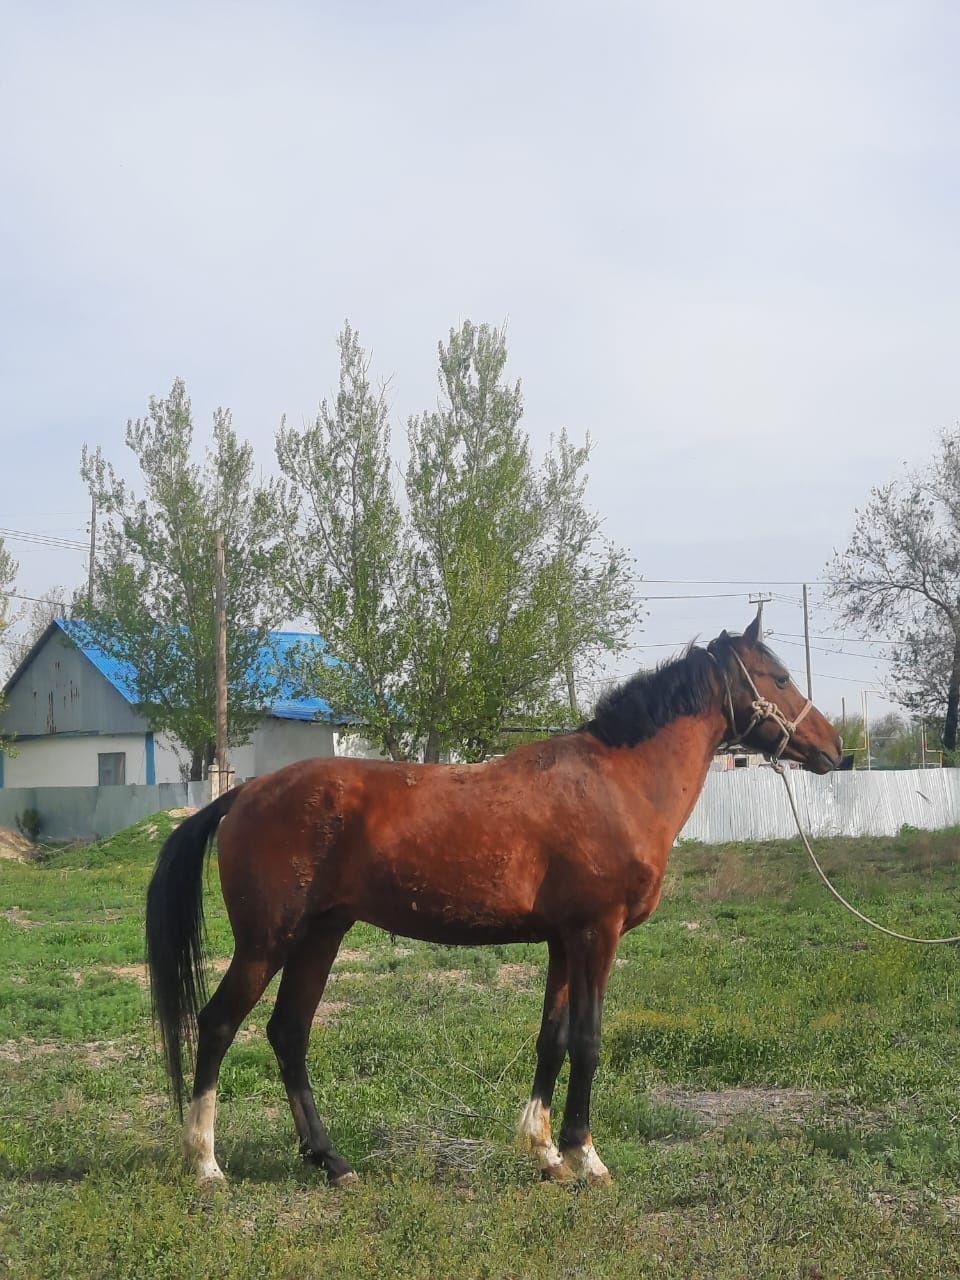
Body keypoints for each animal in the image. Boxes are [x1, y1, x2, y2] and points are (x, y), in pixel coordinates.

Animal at [144, 614, 839, 1182]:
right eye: (778, 677)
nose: (834, 748)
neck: (617, 782)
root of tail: (245, 793)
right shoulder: (598, 933)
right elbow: (588, 1040)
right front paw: (585, 1156)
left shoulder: (563, 940)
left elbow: (552, 1039)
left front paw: (544, 1151)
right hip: (267, 943)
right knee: (218, 1024)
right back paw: (205, 1163)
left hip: (321, 935)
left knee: (289, 1032)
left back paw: (329, 1159)